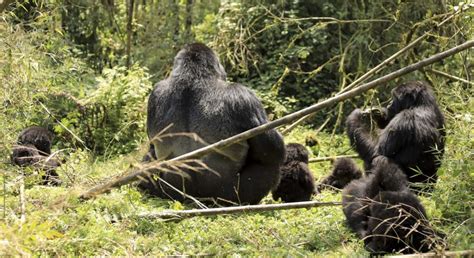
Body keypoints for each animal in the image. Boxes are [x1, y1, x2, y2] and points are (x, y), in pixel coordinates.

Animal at [138, 42, 286, 206]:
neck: (191, 76)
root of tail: (197, 200)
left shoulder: (155, 92)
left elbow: (152, 145)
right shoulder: (242, 96)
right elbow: (273, 150)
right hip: (227, 197)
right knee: (270, 165)